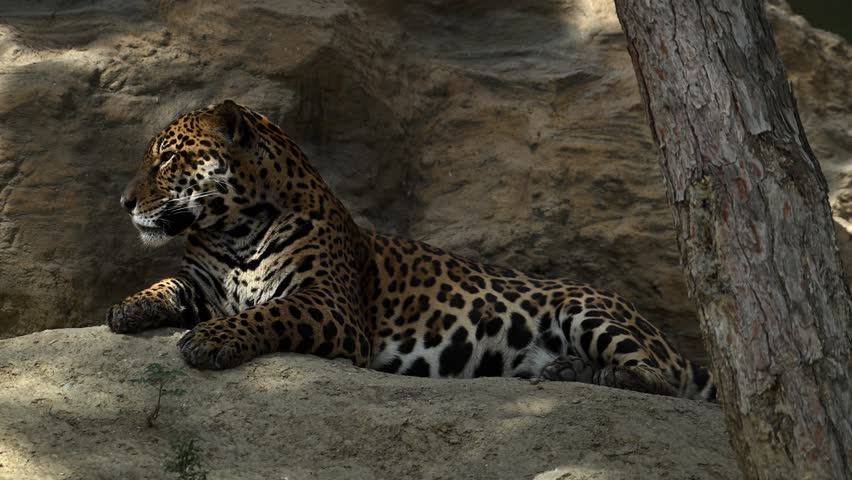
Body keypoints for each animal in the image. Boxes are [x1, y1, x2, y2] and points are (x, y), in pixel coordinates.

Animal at [106, 100, 716, 401]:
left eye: (166, 160)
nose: (123, 201)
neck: (234, 229)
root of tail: (668, 338)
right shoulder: (202, 283)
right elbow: (167, 284)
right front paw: (126, 308)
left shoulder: (330, 305)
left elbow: (269, 313)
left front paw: (211, 339)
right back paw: (565, 371)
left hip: (591, 312)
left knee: (661, 383)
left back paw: (599, 375)